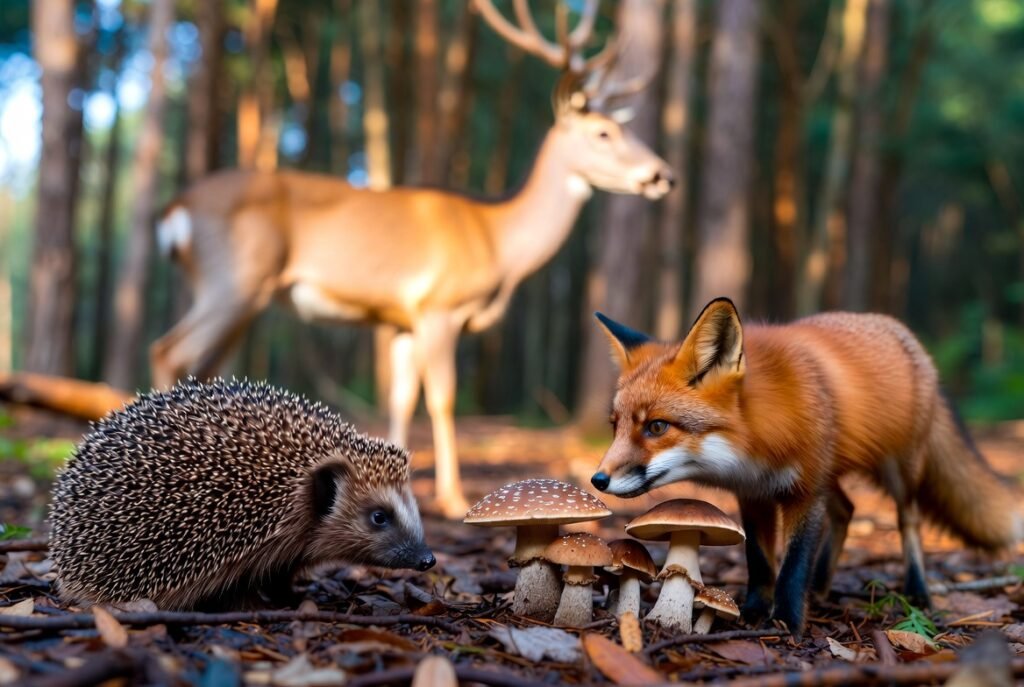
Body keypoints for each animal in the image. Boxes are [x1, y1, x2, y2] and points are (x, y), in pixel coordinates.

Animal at [151, 0, 674, 518]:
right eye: (603, 132)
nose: (663, 174)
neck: (497, 240)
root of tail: (175, 209)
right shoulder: (439, 306)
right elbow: (442, 398)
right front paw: (452, 497)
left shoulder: (402, 320)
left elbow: (400, 398)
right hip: (234, 279)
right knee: (169, 350)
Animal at [589, 297, 1022, 637]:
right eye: (615, 426)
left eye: (656, 427)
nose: (598, 479)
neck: (757, 443)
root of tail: (904, 334)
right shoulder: (755, 495)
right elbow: (761, 563)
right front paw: (752, 612)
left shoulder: (805, 492)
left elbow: (794, 564)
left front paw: (786, 623)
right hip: (834, 475)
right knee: (847, 510)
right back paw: (822, 585)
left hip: (899, 470)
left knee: (908, 521)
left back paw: (916, 589)